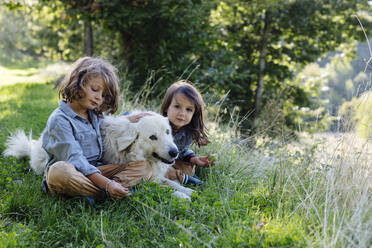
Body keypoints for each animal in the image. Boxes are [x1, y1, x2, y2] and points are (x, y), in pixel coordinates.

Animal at [3, 111, 195, 201]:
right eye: (153, 137)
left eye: (168, 132)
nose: (175, 152)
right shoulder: (147, 179)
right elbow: (163, 187)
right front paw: (182, 196)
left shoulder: (156, 174)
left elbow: (170, 182)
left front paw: (189, 190)